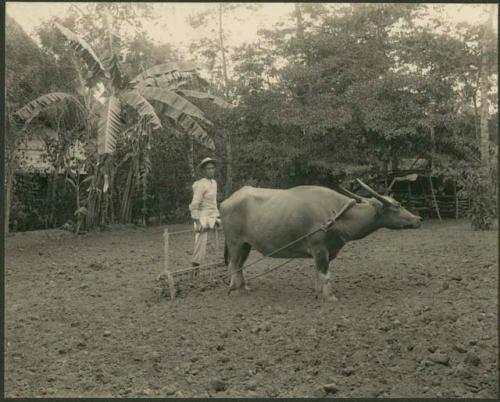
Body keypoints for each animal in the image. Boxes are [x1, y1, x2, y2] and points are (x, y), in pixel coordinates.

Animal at [221, 180, 420, 302]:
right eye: (397, 206)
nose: (418, 219)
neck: (335, 215)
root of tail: (226, 201)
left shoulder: (326, 252)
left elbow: (318, 273)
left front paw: (318, 293)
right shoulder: (320, 249)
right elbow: (325, 274)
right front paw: (330, 297)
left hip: (246, 244)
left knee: (239, 265)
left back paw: (244, 287)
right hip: (235, 243)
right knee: (234, 265)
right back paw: (234, 290)